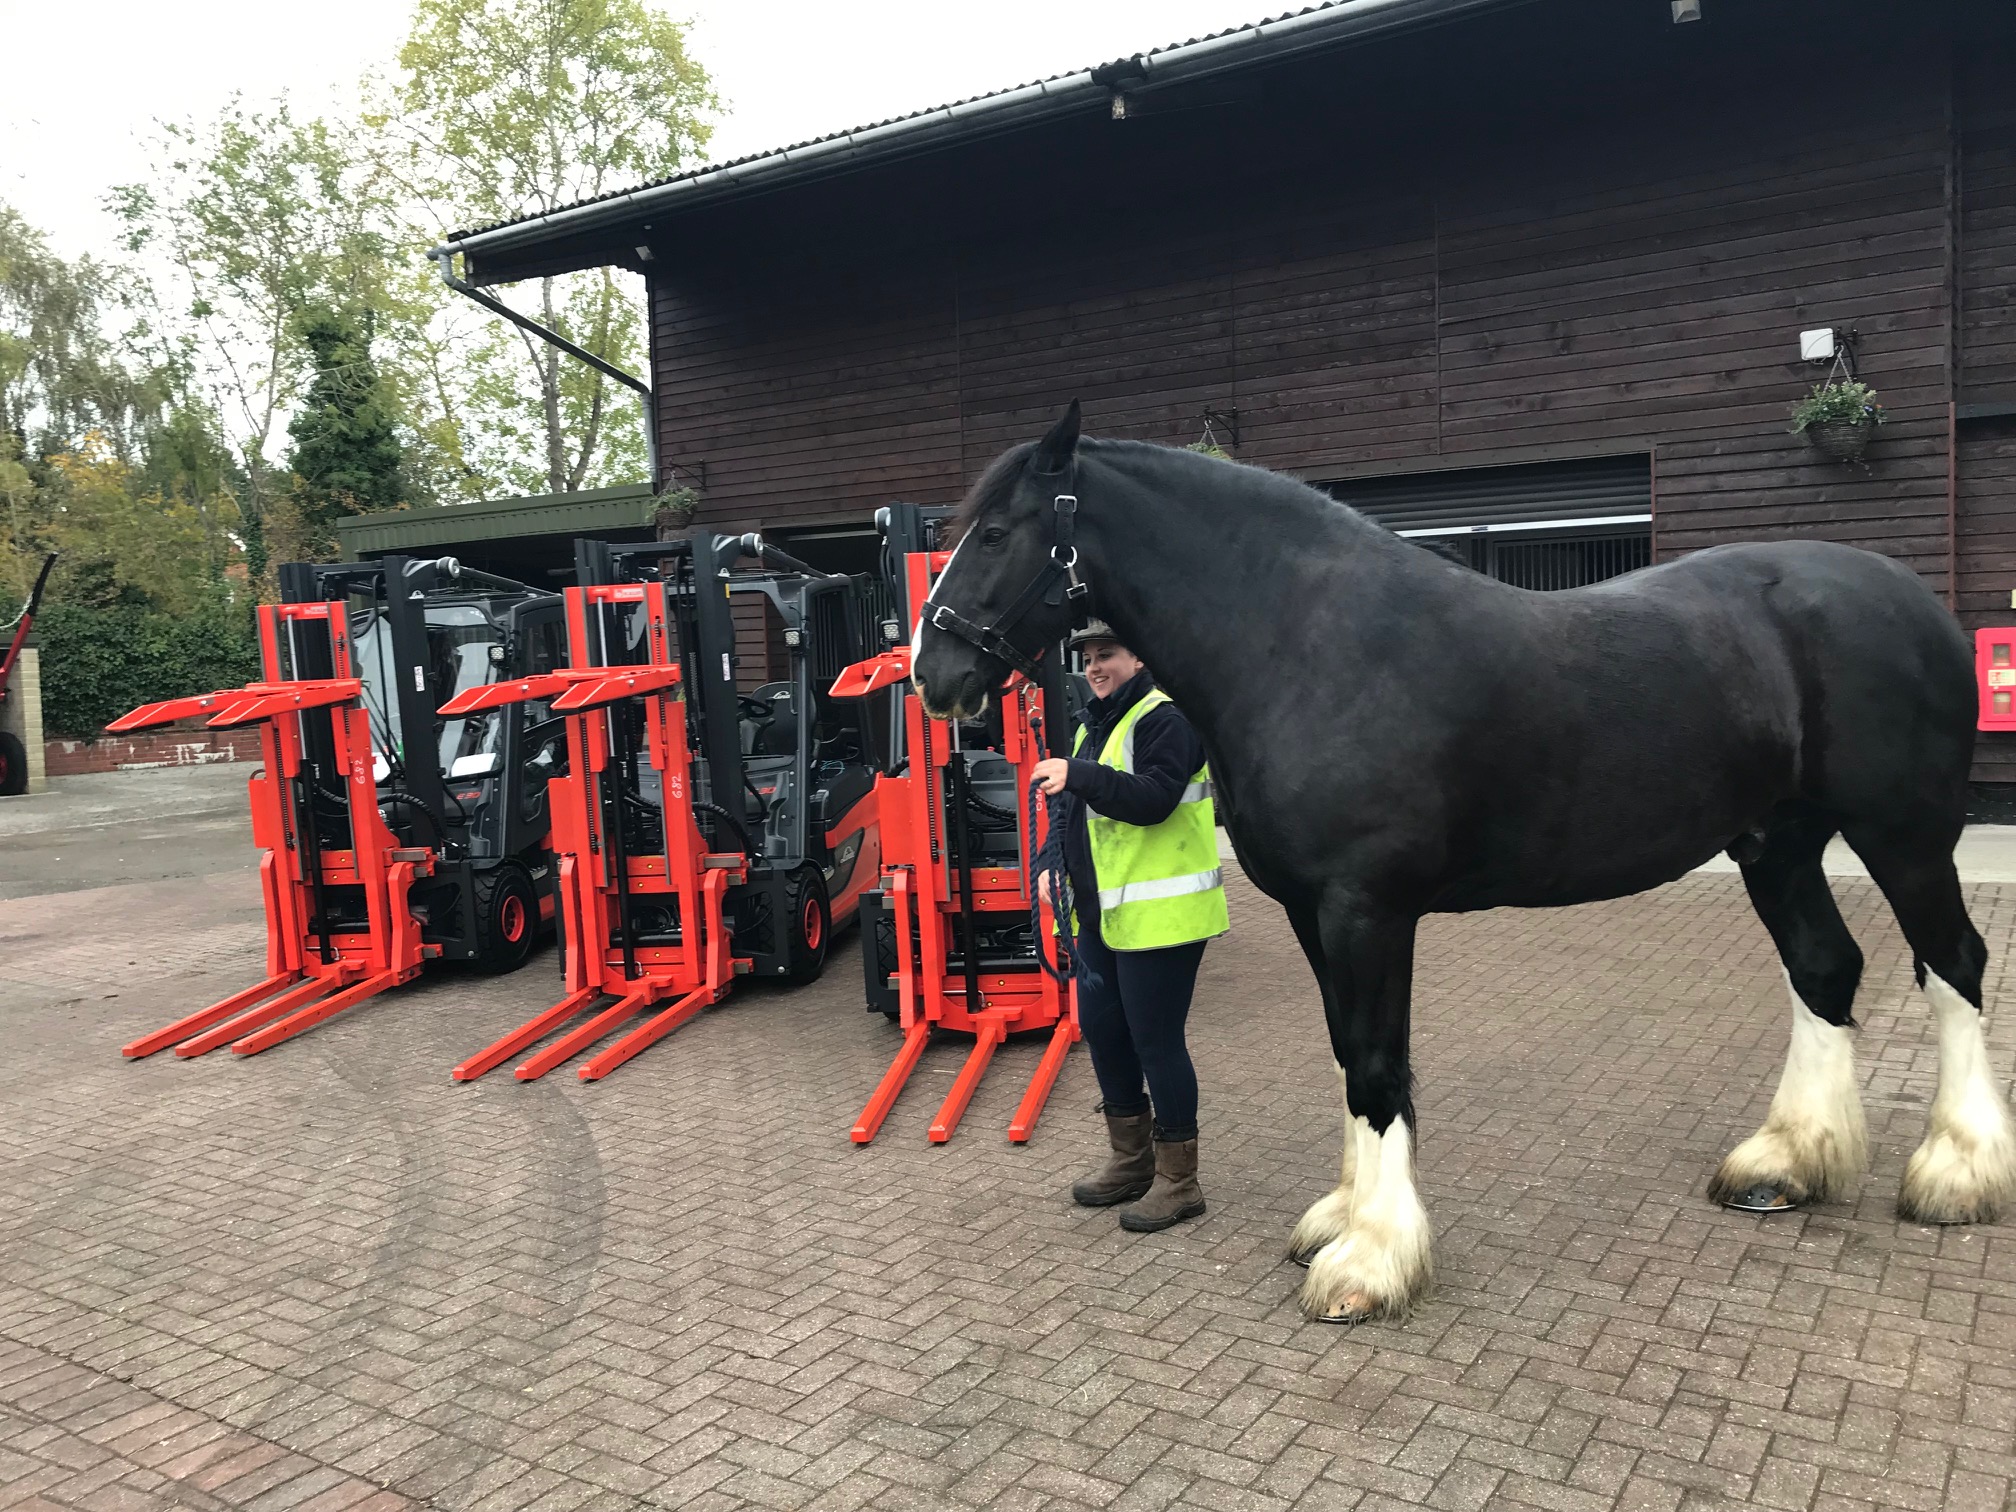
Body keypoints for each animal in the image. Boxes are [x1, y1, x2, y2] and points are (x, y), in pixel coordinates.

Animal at [919, 403, 2016, 1322]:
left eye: (998, 532)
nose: (937, 676)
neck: (1297, 641)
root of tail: (1909, 600)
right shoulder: (1315, 913)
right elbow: (1347, 1055)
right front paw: (1342, 1220)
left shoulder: (1366, 909)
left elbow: (1375, 1062)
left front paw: (1371, 1262)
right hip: (1776, 844)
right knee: (1826, 968)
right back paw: (1785, 1163)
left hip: (1904, 836)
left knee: (1953, 965)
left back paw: (1958, 1172)